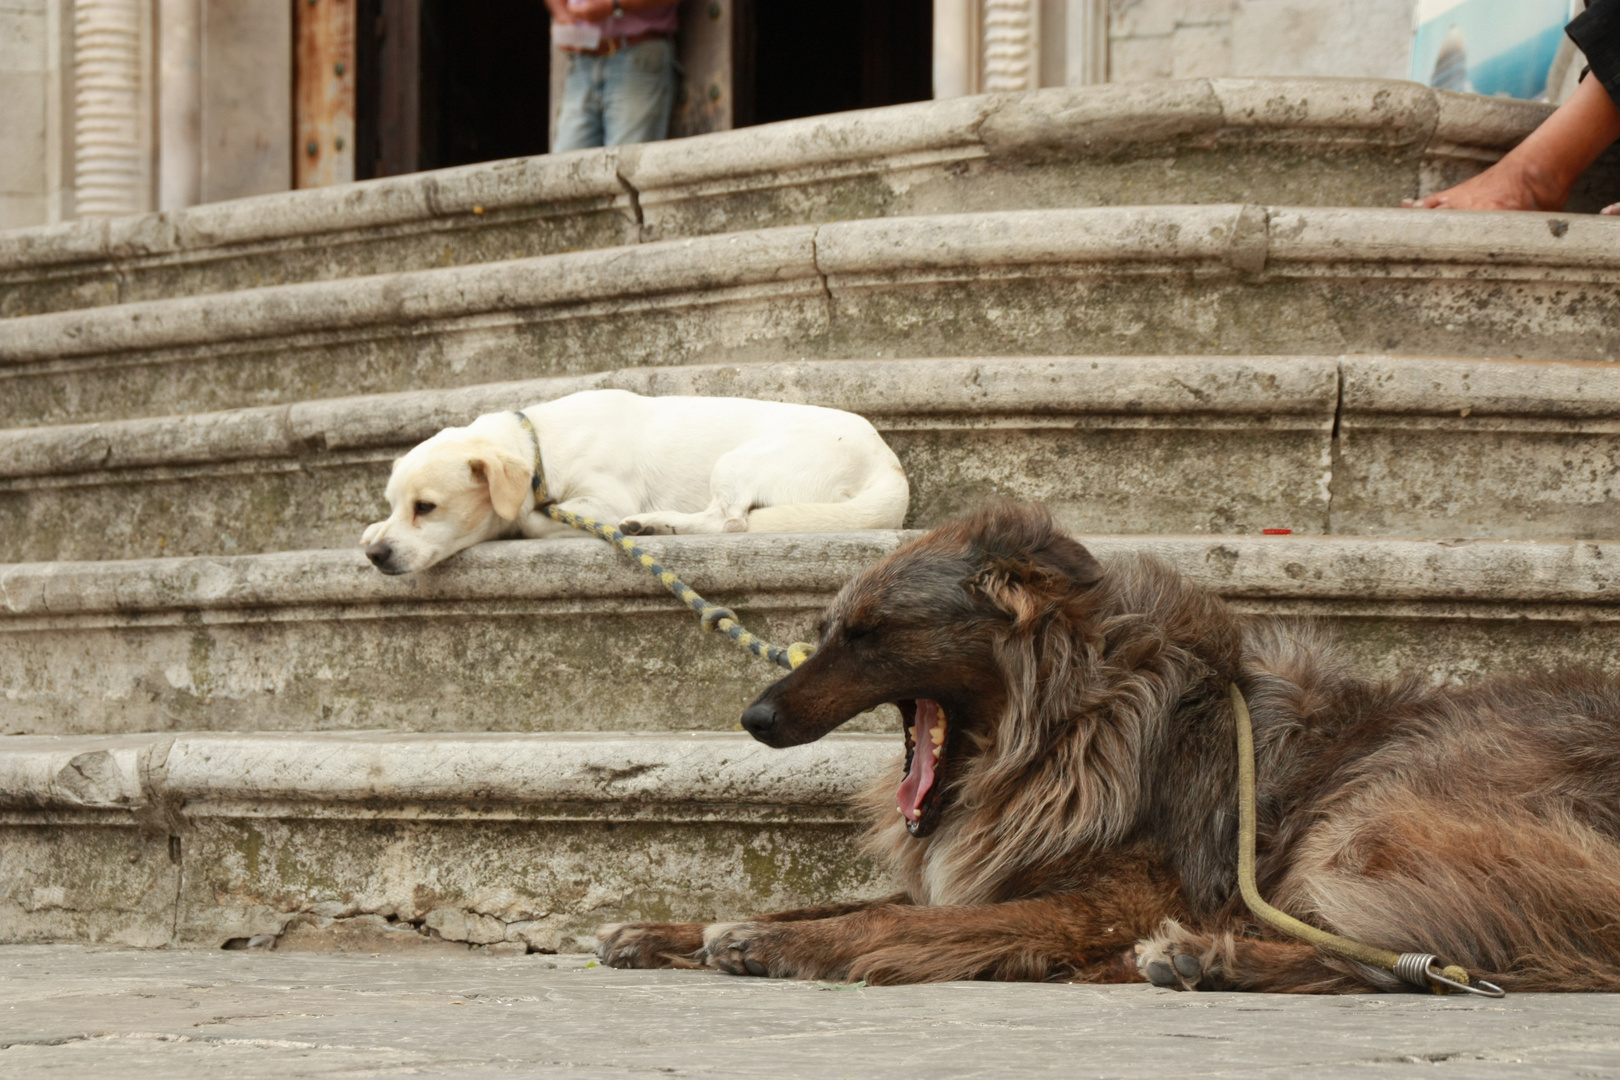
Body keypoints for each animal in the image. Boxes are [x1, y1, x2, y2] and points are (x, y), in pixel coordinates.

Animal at [358, 388, 913, 573]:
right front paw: (369, 531)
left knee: (727, 522)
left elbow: (532, 517)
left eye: (426, 507)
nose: (377, 556)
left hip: (736, 462)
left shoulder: (601, 501)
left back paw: (656, 523)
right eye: (393, 504)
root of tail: (888, 465)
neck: (539, 445)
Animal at [602, 501, 1620, 990]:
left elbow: (898, 923)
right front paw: (676, 930)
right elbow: (824, 901)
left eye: (869, 634)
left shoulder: (1098, 905)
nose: (756, 719)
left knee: (1455, 952)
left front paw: (779, 945)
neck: (1071, 725)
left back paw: (1213, 959)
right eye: (829, 629)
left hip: (1369, 819)